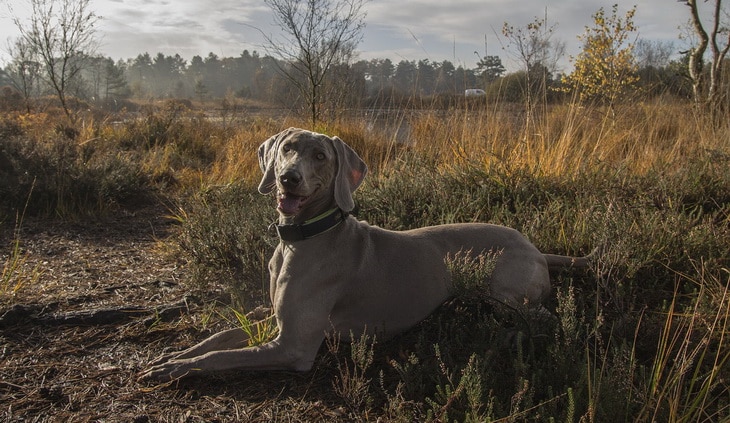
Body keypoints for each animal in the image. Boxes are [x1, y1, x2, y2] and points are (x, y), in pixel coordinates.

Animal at [141, 128, 584, 380]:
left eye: (321, 157)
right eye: (287, 149)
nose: (288, 178)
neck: (301, 238)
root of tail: (535, 246)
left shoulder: (293, 346)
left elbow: (221, 356)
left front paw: (177, 368)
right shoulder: (277, 319)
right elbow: (218, 337)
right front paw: (174, 355)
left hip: (506, 292)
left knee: (549, 319)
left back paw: (511, 336)